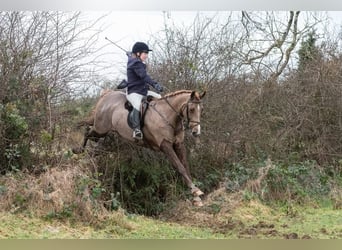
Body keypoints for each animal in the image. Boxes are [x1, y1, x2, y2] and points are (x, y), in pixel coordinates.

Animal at [72, 89, 206, 206]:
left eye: (202, 110)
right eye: (192, 109)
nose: (196, 132)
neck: (167, 116)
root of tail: (107, 95)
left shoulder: (178, 145)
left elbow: (186, 167)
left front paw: (196, 196)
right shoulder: (165, 145)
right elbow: (180, 167)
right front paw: (195, 191)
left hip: (102, 131)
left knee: (89, 132)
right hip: (101, 129)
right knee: (87, 132)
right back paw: (78, 151)